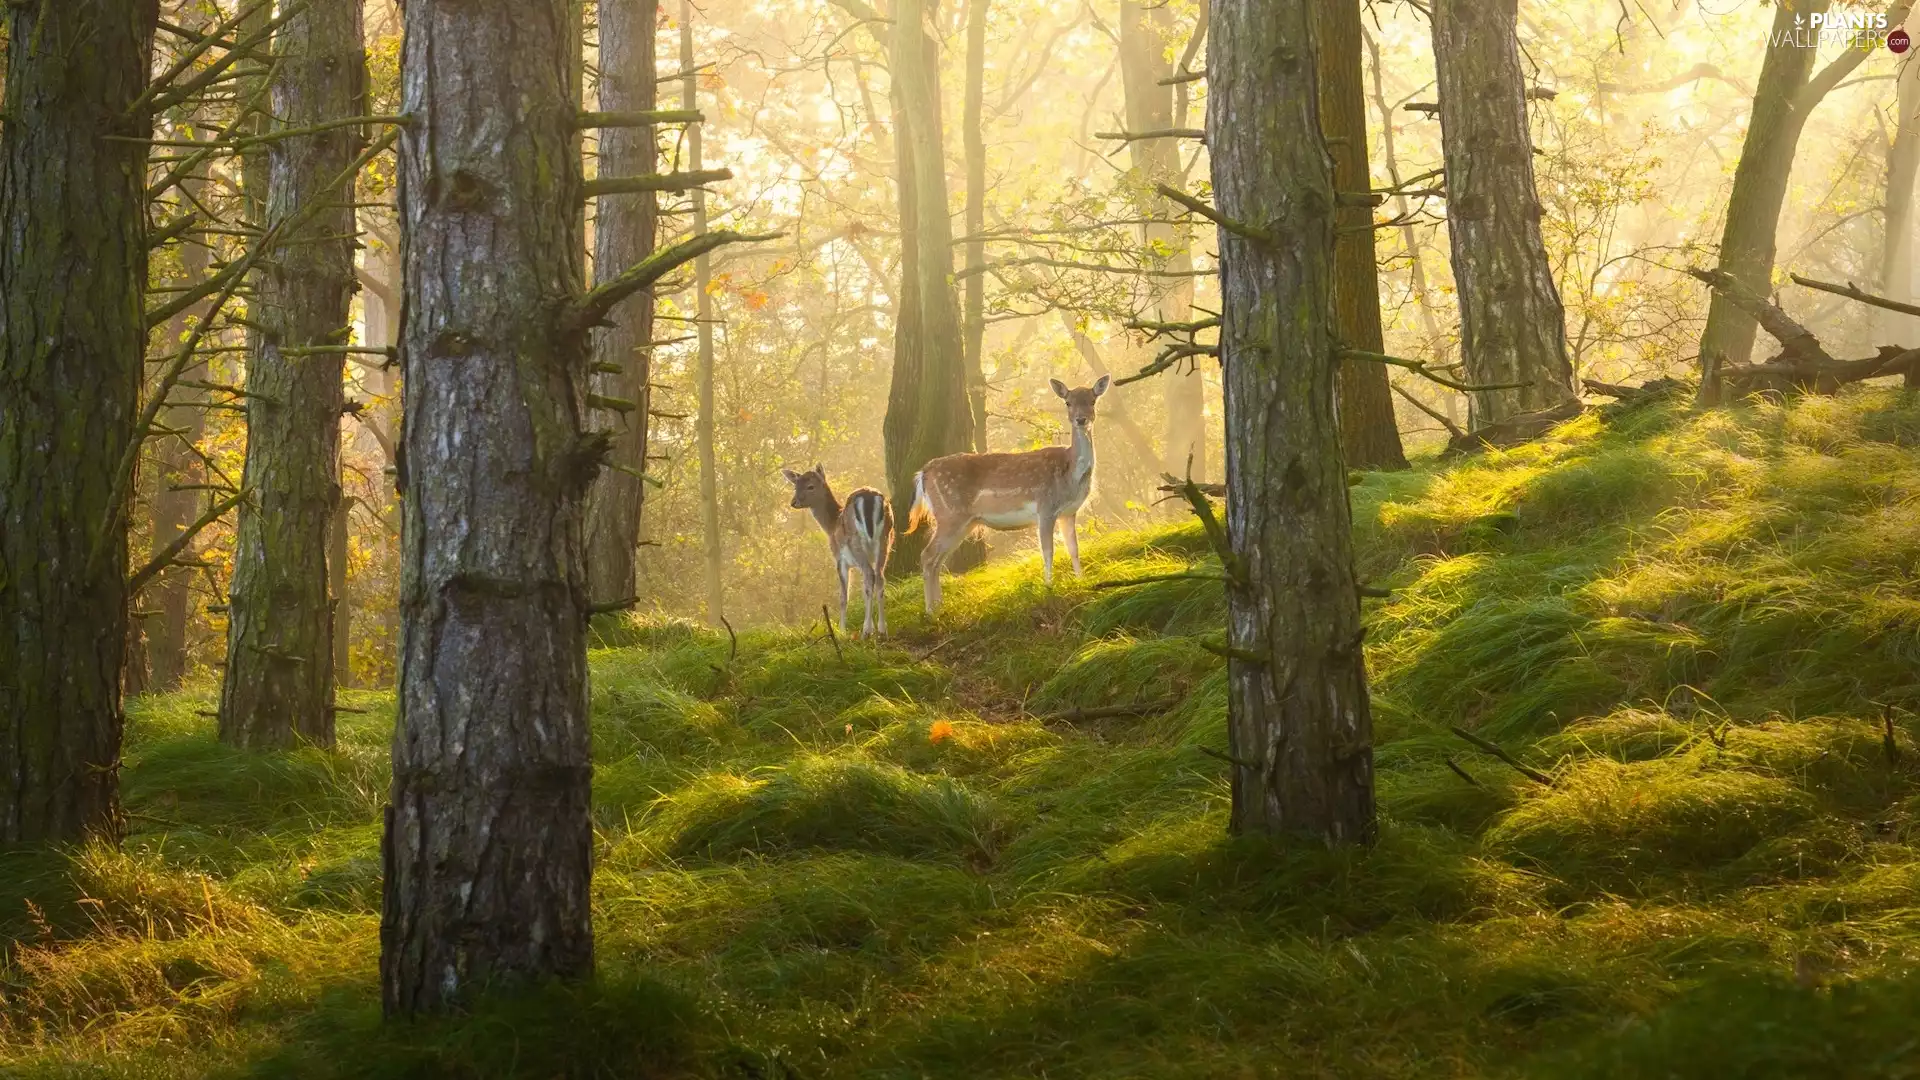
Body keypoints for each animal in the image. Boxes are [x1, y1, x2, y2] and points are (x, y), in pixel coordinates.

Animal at [782, 464, 894, 638]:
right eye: (796, 485)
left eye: (810, 486)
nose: (794, 502)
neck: (831, 525)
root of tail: (869, 499)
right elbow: (864, 590)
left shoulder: (840, 559)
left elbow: (843, 596)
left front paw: (841, 631)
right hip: (885, 540)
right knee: (880, 577)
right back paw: (882, 629)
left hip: (856, 543)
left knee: (870, 575)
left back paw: (866, 631)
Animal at [907, 374, 1110, 614]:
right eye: (1067, 402)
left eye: (1092, 401)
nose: (1081, 420)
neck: (1071, 475)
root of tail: (923, 473)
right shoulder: (1045, 507)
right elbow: (1048, 550)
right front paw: (1049, 587)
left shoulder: (1068, 512)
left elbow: (1074, 549)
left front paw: (1081, 581)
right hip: (950, 514)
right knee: (928, 555)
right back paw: (931, 611)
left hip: (964, 522)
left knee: (938, 560)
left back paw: (939, 608)